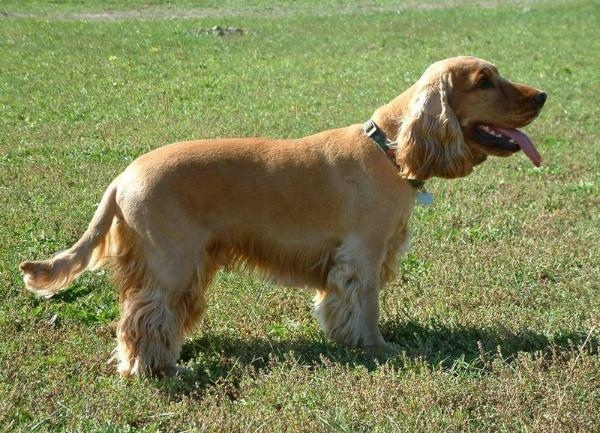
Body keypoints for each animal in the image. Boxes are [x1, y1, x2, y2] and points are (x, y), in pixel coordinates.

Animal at [19, 56, 544, 374]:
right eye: (484, 81)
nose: (541, 96)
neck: (389, 150)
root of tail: (122, 177)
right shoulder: (363, 257)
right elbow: (366, 307)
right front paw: (377, 346)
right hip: (170, 262)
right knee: (142, 318)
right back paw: (155, 369)